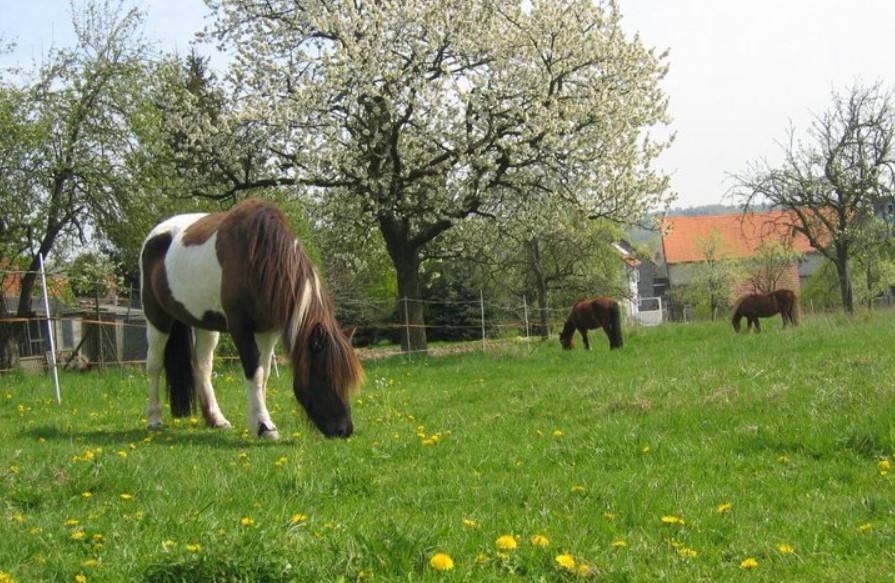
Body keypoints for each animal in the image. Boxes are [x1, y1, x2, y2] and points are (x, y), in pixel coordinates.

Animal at [140, 198, 364, 440]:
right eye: (323, 376)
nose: (344, 429)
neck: (258, 259)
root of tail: (154, 235)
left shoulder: (268, 331)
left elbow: (264, 374)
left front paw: (261, 420)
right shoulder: (241, 327)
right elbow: (254, 373)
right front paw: (265, 426)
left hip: (205, 325)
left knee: (202, 366)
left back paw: (216, 419)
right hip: (157, 319)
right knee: (154, 365)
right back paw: (154, 419)